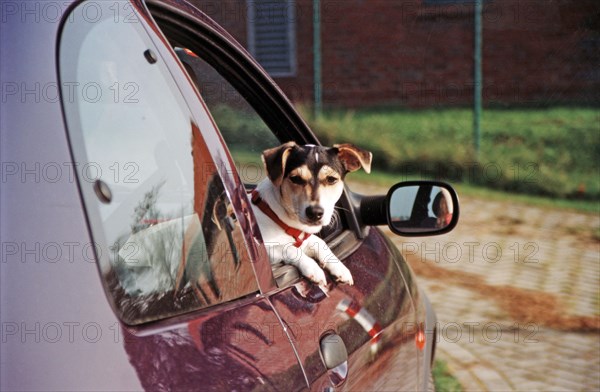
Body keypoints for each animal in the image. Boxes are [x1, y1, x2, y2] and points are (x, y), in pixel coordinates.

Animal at [248, 142, 370, 288]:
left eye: (331, 179)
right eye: (295, 178)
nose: (315, 213)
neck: (276, 215)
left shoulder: (306, 238)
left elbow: (320, 242)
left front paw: (339, 267)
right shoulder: (265, 249)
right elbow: (288, 248)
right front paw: (313, 268)